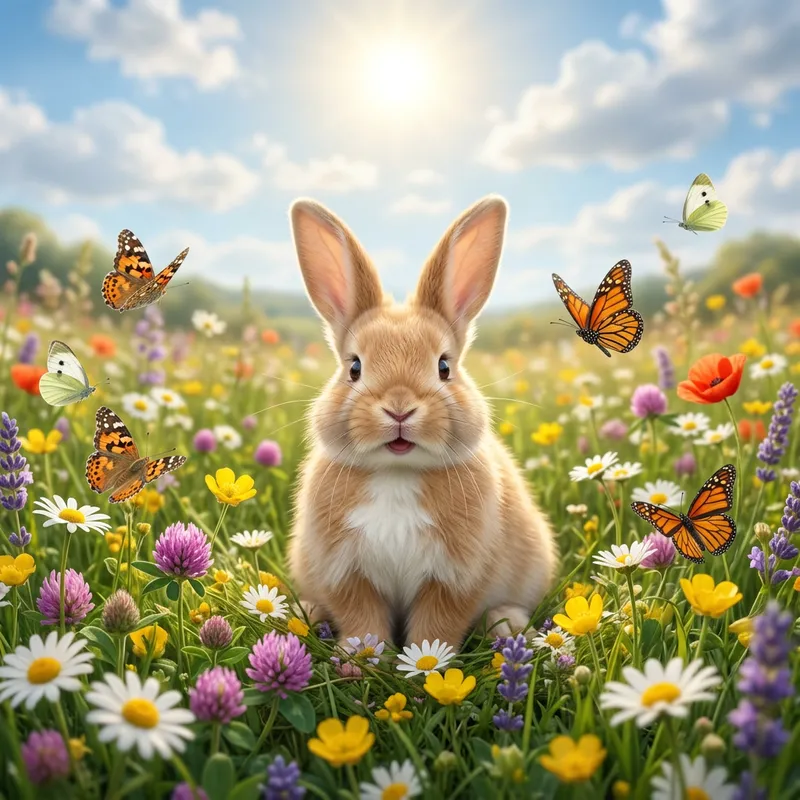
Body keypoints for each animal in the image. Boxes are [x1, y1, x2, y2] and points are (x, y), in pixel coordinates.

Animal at [287, 194, 557, 650]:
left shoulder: (455, 578)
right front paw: (358, 657)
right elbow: (363, 620)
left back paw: (506, 625)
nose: (399, 408)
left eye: (444, 367)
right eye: (354, 368)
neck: (397, 472)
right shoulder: (347, 574)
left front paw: (427, 660)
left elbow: (436, 626)